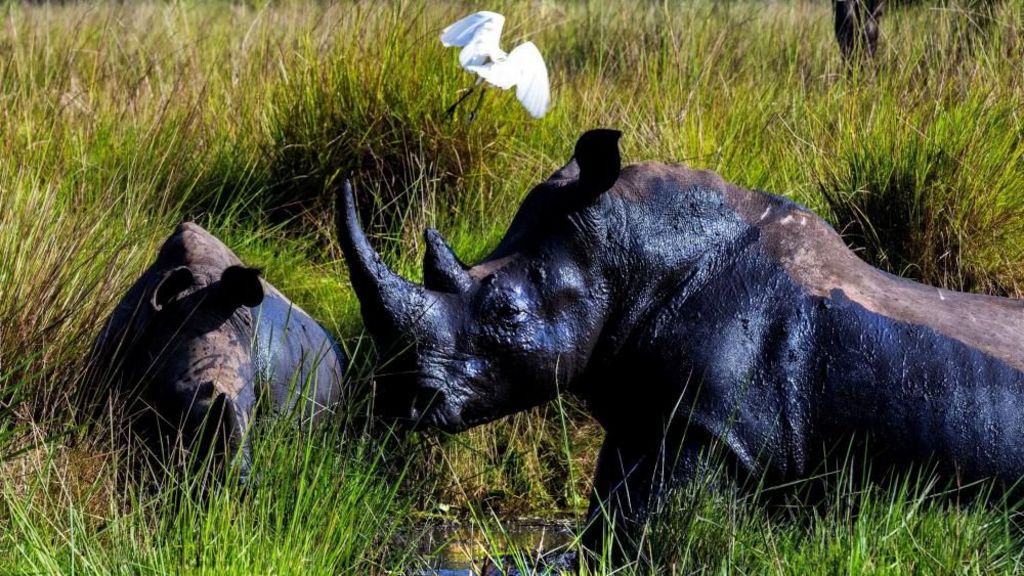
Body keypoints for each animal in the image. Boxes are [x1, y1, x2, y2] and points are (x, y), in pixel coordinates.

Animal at [338, 129, 1024, 564]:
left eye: (507, 312)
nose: (399, 397)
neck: (628, 256)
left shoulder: (711, 422)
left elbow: (650, 533)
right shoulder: (646, 413)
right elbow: (608, 524)